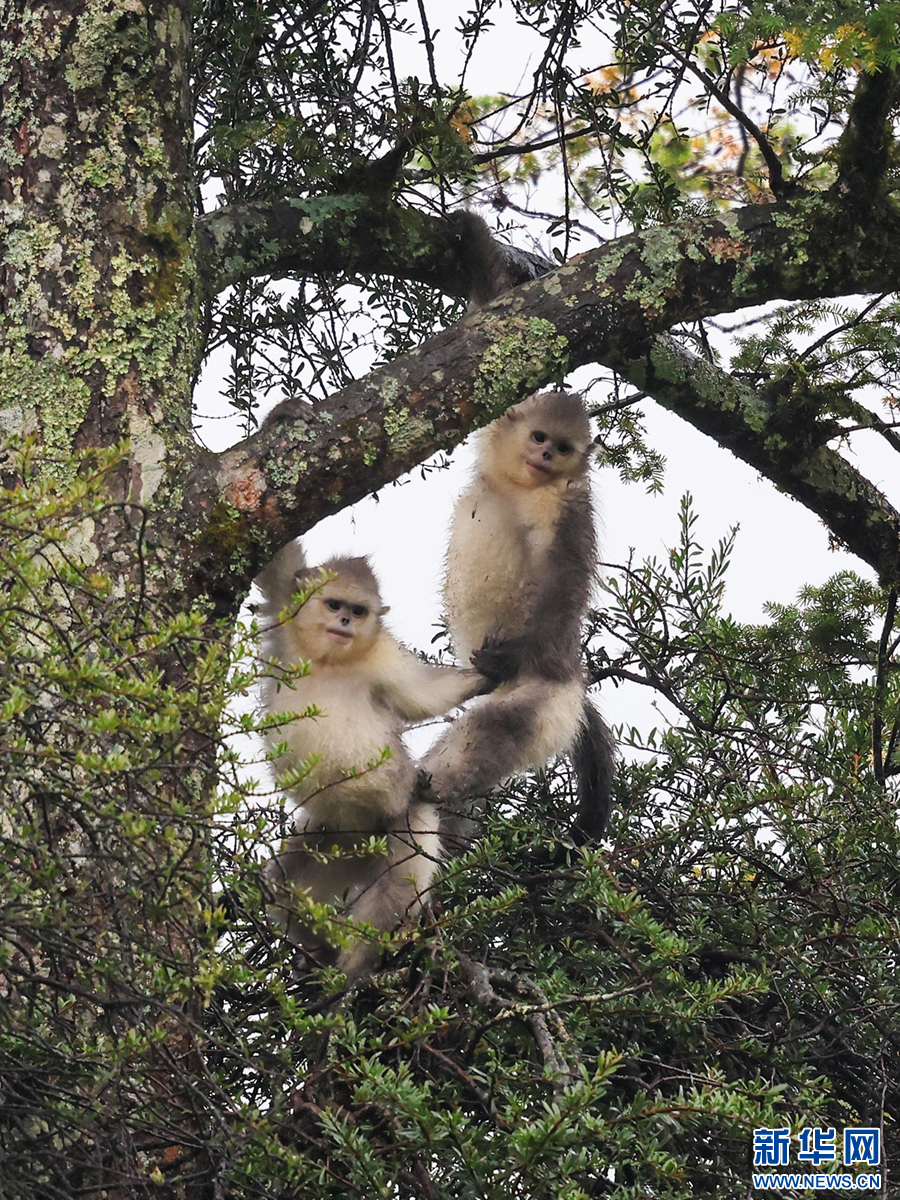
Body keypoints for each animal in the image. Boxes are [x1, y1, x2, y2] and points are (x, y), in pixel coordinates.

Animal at [256, 544, 489, 974]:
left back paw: (353, 975)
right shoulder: (284, 606)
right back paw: (323, 956)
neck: (332, 660)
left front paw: (490, 673)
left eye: (359, 610)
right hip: (333, 838)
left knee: (394, 890)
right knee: (283, 885)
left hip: (406, 824)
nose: (345, 621)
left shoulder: (384, 659)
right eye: (334, 605)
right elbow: (277, 565)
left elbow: (423, 696)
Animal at [420, 388, 619, 849]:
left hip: (550, 698)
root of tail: (574, 678)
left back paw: (430, 785)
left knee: (497, 727)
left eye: (562, 447)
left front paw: (503, 658)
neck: (521, 488)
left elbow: (564, 583)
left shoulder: (569, 507)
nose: (545, 454)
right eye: (539, 437)